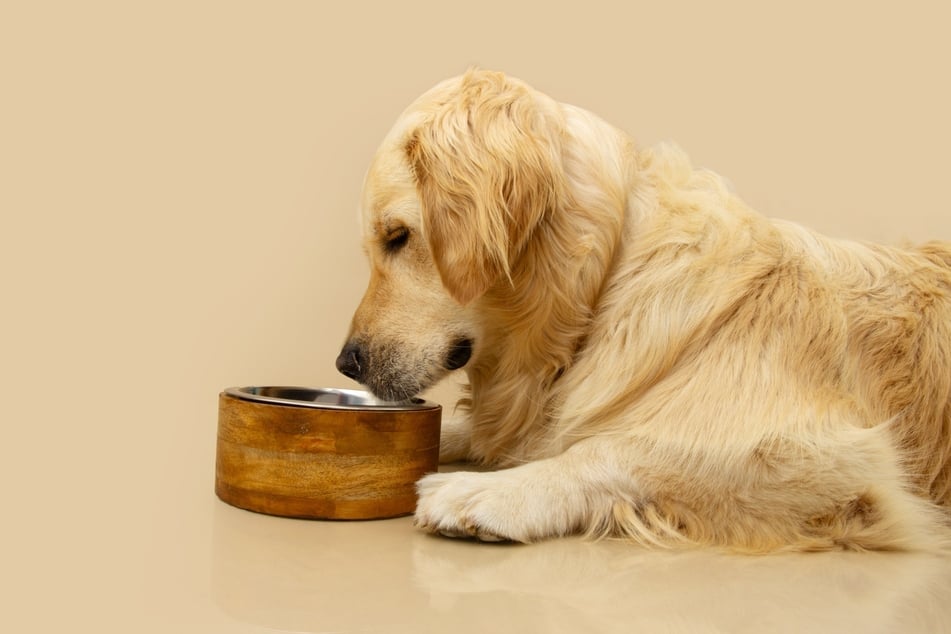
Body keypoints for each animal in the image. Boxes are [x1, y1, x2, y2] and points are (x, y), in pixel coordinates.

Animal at [338, 68, 951, 548]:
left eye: (398, 236)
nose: (347, 363)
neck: (603, 291)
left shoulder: (834, 455)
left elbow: (613, 448)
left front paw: (489, 491)